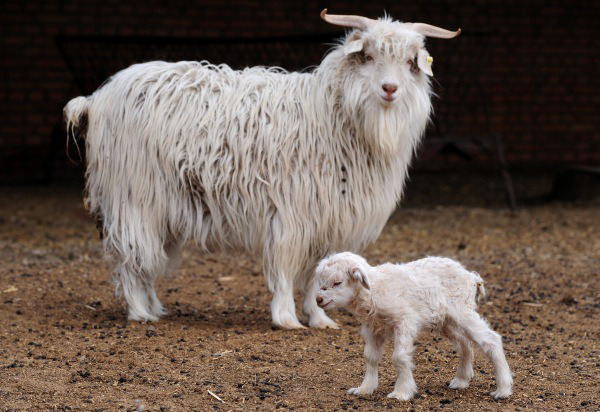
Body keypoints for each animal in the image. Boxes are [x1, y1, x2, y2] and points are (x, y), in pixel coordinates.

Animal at [64, 10, 460, 328]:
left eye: (410, 62)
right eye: (368, 55)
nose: (390, 88)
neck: (331, 114)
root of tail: (96, 99)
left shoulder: (326, 217)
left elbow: (318, 274)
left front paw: (319, 319)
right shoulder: (291, 214)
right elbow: (285, 269)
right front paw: (287, 319)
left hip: (160, 206)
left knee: (145, 258)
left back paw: (154, 308)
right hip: (132, 197)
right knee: (131, 256)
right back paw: (140, 313)